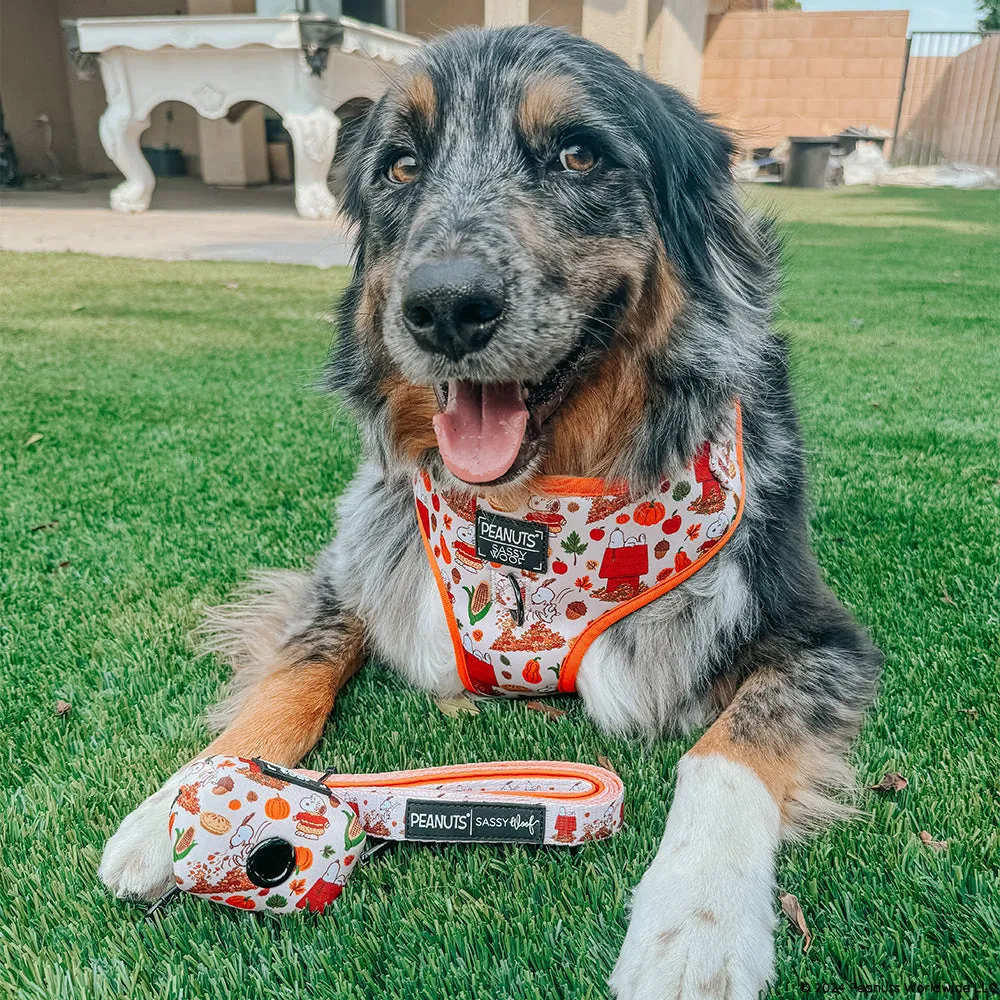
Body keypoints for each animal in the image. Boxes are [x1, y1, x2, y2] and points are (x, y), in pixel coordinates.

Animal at [99, 25, 884, 1000]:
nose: (444, 306)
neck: (533, 512)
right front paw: (173, 805)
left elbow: (726, 751)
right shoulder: (356, 564)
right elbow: (291, 674)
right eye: (399, 167)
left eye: (578, 154)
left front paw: (694, 926)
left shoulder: (817, 635)